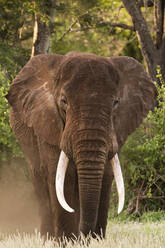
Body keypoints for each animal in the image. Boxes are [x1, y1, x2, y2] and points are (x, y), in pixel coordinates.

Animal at [5, 51, 157, 240]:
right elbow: (62, 175)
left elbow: (106, 174)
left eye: (116, 102)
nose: (86, 236)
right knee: (40, 178)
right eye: (64, 101)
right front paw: (67, 241)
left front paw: (95, 240)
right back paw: (48, 238)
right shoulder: (48, 124)